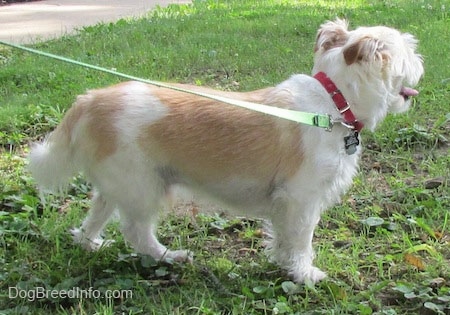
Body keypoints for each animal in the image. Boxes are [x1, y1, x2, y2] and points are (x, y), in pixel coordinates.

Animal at [29, 20, 424, 286]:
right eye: (407, 50)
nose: (422, 59)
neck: (331, 101)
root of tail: (90, 100)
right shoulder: (302, 199)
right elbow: (301, 240)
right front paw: (304, 273)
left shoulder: (286, 204)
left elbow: (284, 238)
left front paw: (283, 263)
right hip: (143, 187)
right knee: (137, 232)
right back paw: (169, 257)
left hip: (118, 185)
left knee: (93, 220)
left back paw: (92, 244)